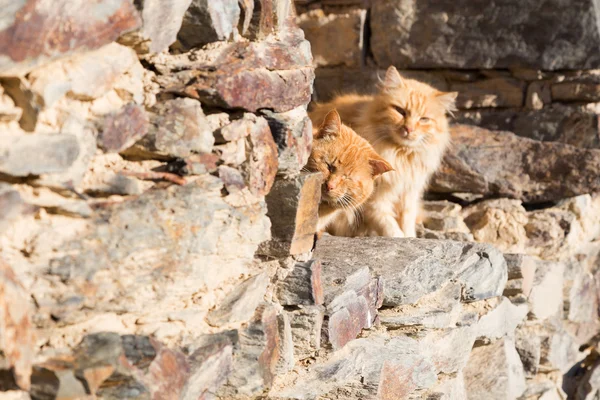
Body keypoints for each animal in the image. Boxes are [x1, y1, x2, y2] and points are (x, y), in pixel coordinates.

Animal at [312, 65, 458, 238]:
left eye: (424, 119)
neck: (401, 155)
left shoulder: (409, 193)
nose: (409, 129)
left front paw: (411, 237)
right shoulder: (375, 202)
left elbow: (407, 222)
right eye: (400, 111)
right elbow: (390, 226)